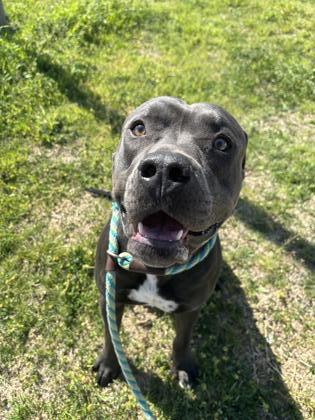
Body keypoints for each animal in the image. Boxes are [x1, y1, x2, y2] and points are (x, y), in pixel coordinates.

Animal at [92, 95, 248, 388]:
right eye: (139, 128)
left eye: (222, 143)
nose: (165, 168)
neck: (154, 269)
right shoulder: (110, 298)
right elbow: (111, 336)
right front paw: (109, 363)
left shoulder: (190, 309)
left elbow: (182, 339)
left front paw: (183, 366)